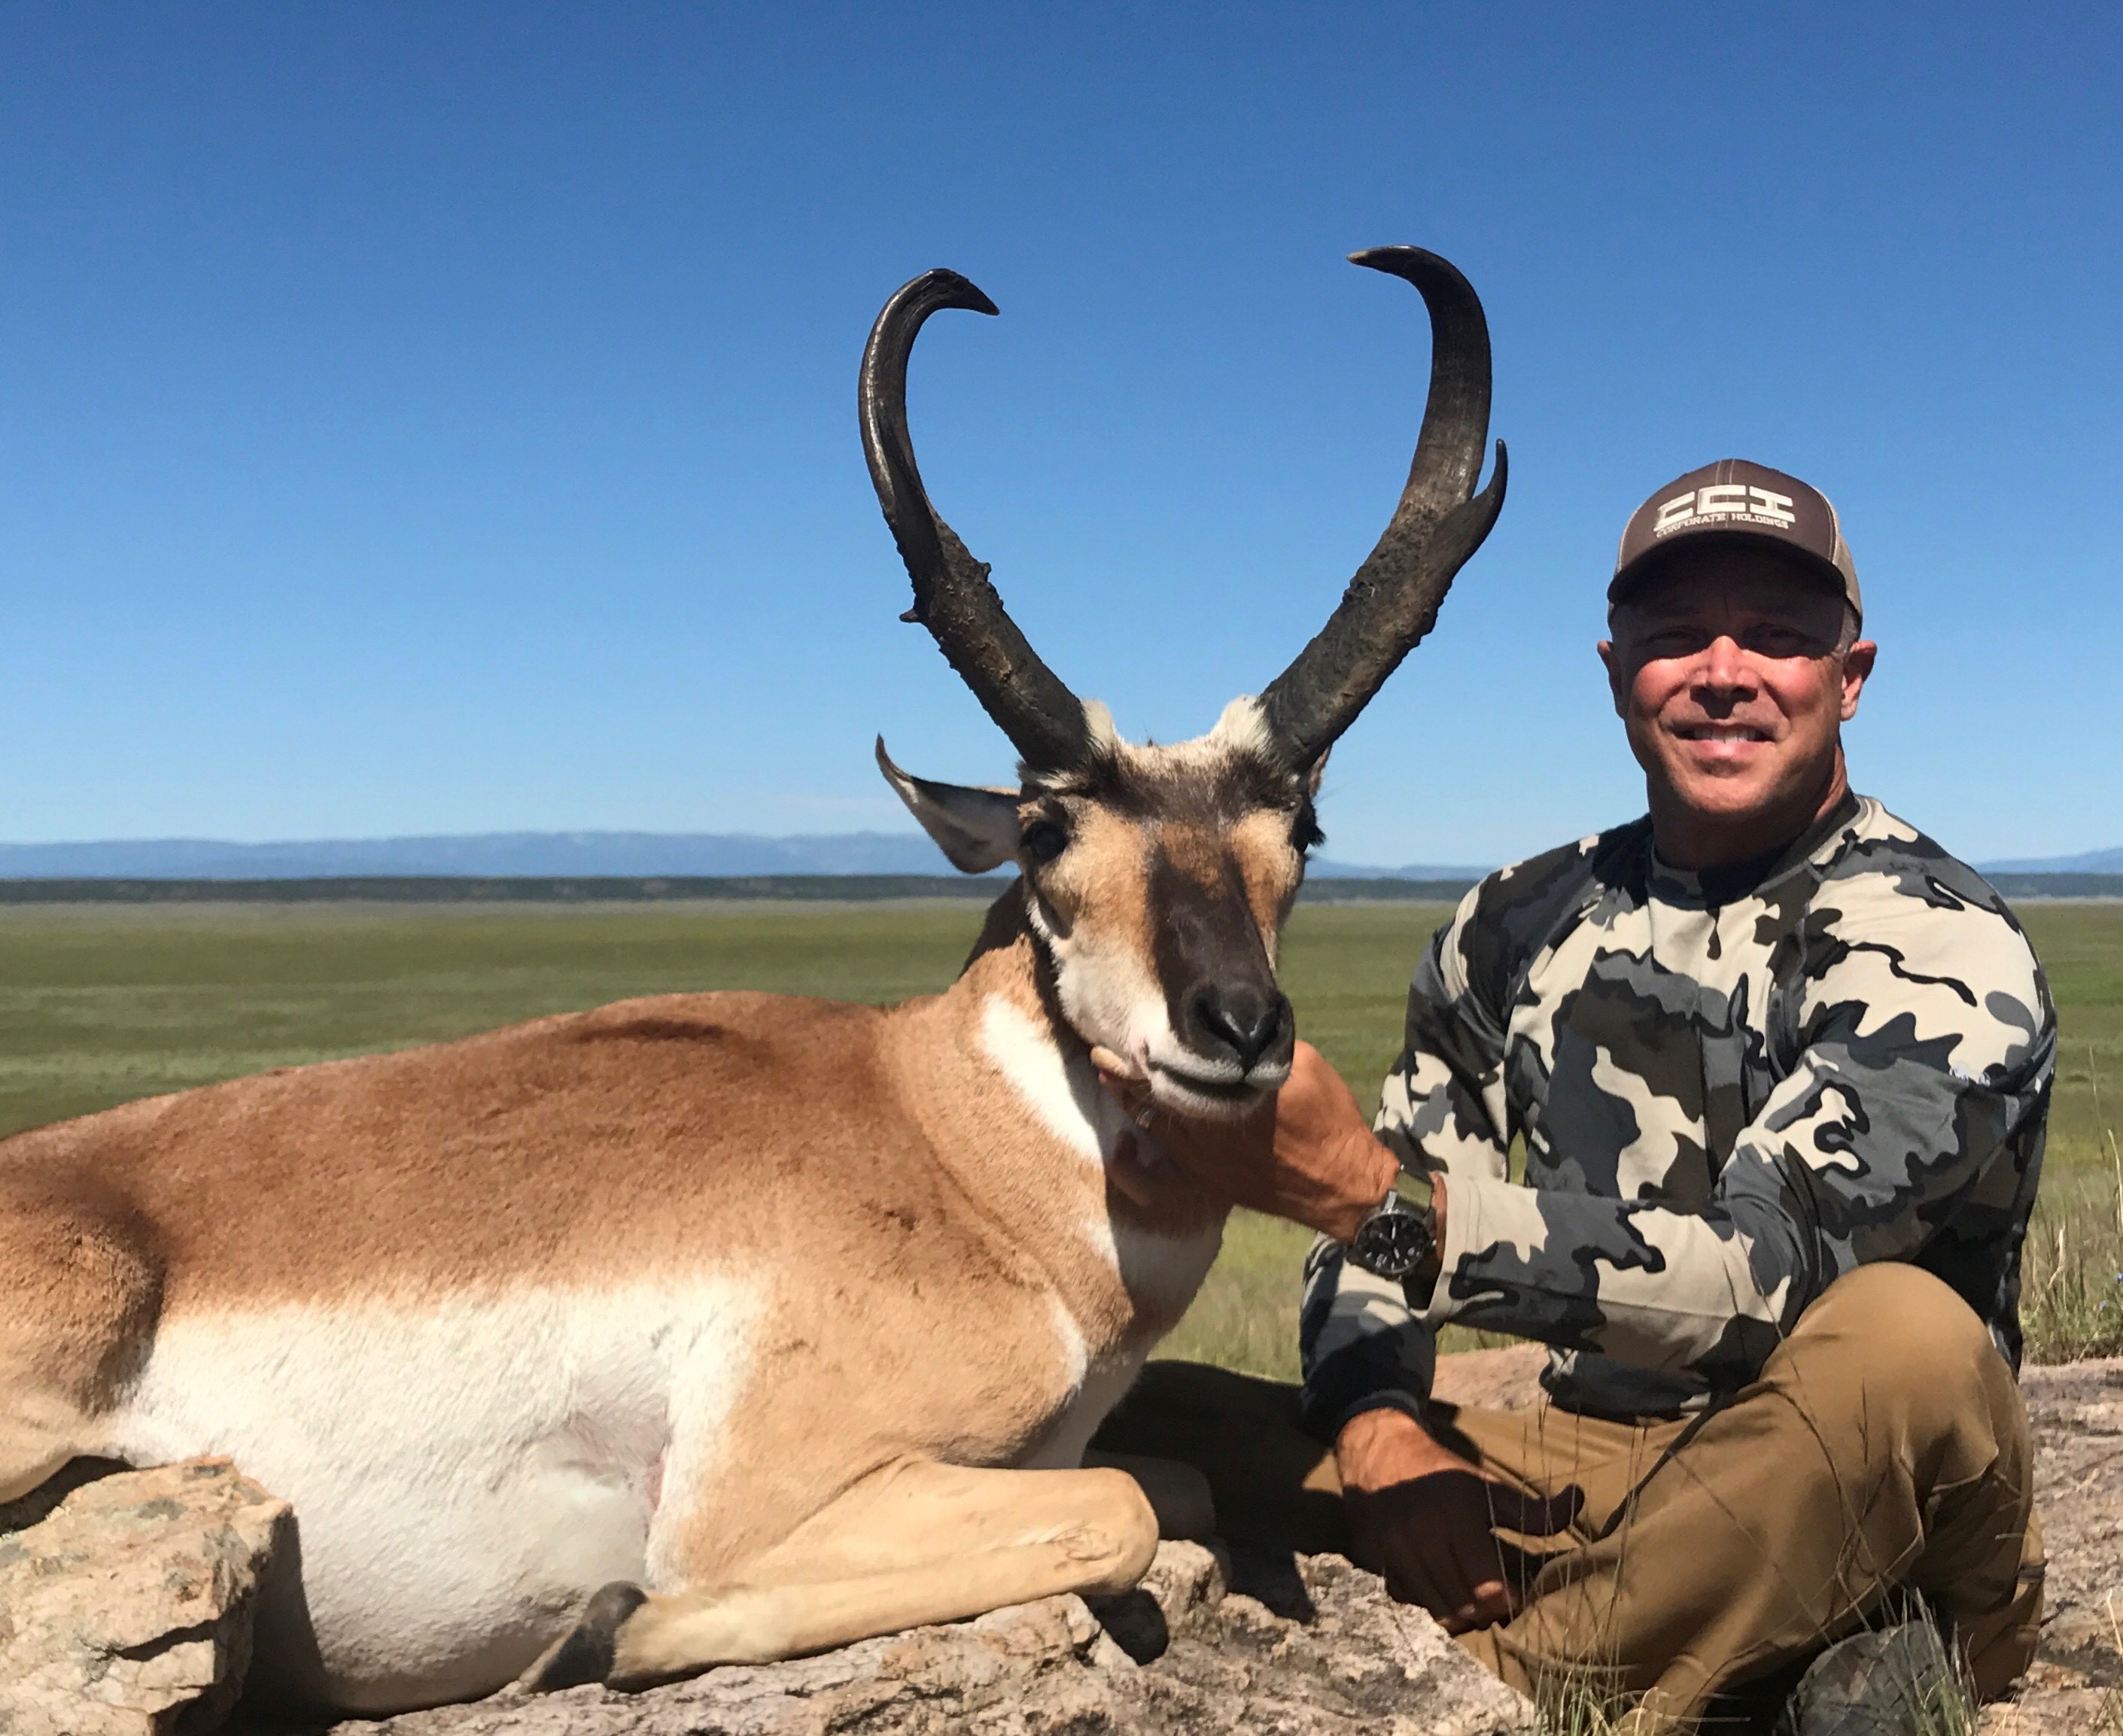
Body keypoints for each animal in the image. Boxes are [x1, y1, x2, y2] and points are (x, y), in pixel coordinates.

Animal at [0, 246, 1503, 1716]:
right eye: (1040, 829)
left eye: (1301, 831)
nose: (1238, 1028)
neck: (946, 1140)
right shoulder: (763, 1502)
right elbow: (1124, 1508)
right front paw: (600, 1633)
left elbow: (1170, 1483)